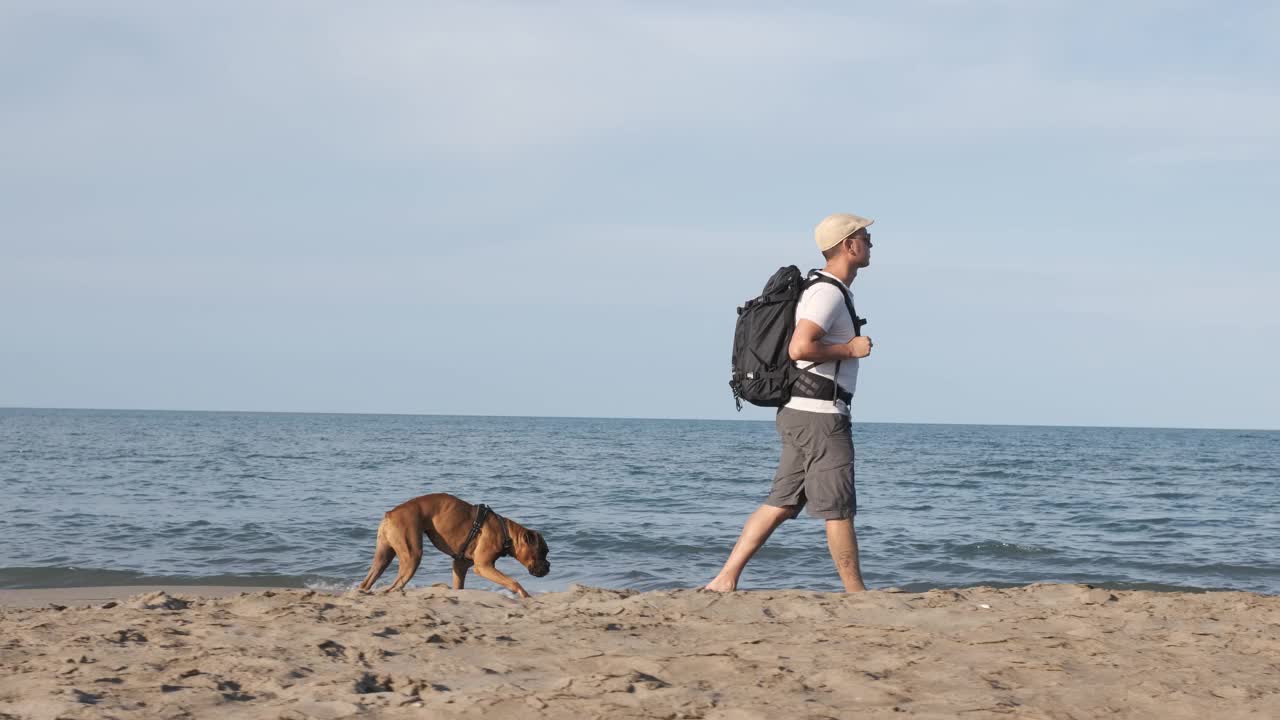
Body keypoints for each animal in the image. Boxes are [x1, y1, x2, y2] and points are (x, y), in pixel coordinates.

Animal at [358, 489, 547, 597]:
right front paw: (526, 597)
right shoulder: (484, 567)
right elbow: (514, 582)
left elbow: (458, 585)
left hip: (383, 556)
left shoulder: (460, 566)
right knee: (394, 586)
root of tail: (390, 514)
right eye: (543, 552)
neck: (505, 531)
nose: (548, 566)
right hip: (412, 556)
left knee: (368, 581)